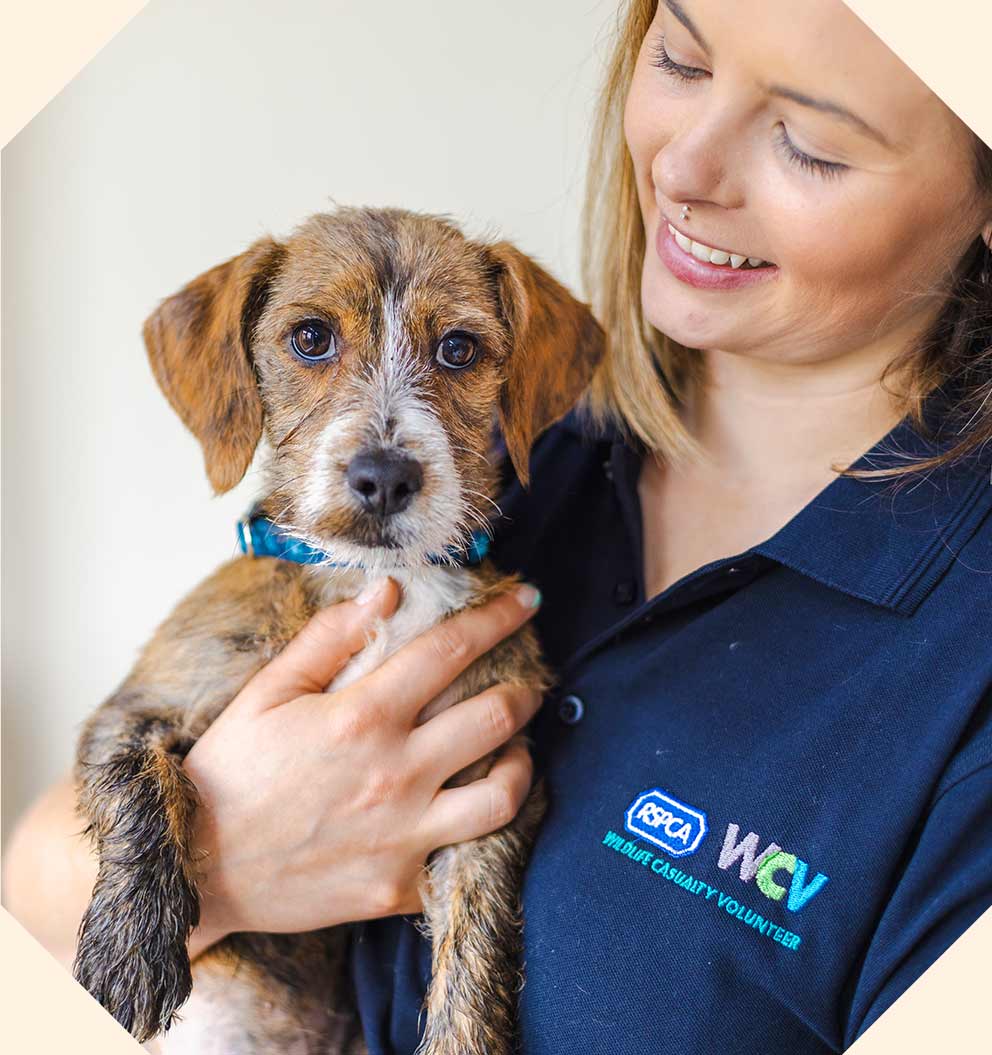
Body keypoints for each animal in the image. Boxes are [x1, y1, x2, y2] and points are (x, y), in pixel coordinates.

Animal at [72, 205, 605, 1054]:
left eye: (460, 348)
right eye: (311, 337)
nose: (384, 476)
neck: (377, 579)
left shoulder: (487, 795)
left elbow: (479, 943)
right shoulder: (146, 699)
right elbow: (137, 779)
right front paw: (129, 947)